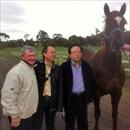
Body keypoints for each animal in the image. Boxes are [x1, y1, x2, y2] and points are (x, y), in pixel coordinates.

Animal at [82, 2, 127, 130]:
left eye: (124, 22)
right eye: (107, 22)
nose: (118, 44)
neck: (111, 68)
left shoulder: (117, 93)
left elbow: (114, 114)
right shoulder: (96, 93)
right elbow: (97, 113)